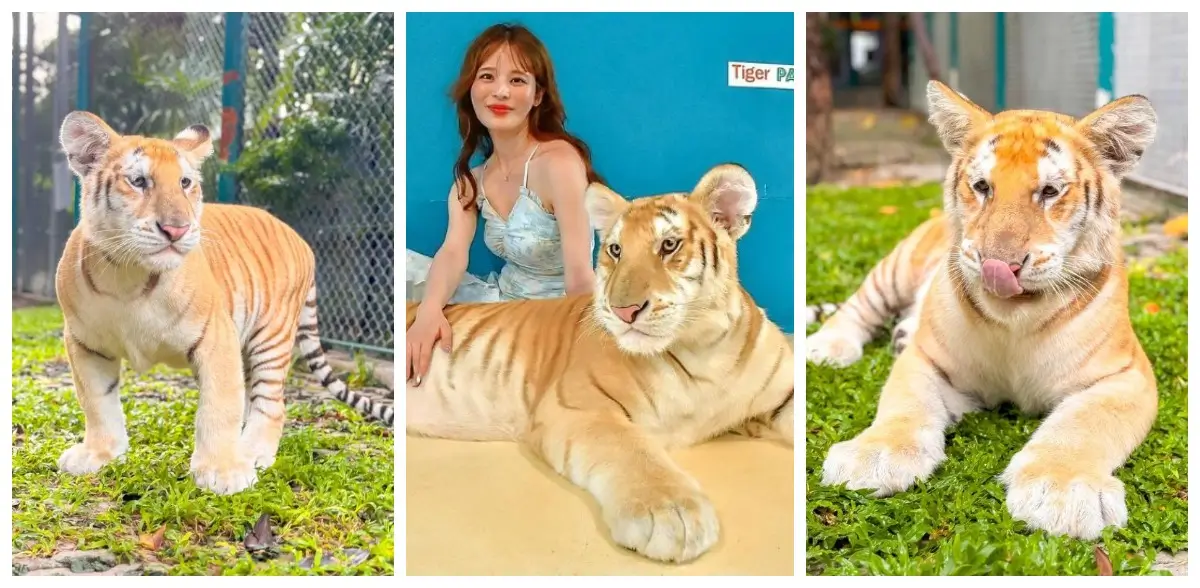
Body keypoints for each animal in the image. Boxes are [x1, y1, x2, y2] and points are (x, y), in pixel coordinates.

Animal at [53, 111, 393, 496]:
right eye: (138, 181)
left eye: (185, 182)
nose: (177, 229)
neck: (131, 277)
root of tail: (301, 238)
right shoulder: (84, 342)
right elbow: (96, 401)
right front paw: (99, 454)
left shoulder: (215, 337)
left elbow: (219, 405)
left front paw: (223, 471)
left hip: (271, 337)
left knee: (272, 404)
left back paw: (252, 453)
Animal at [405, 163, 794, 564]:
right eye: (616, 250)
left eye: (669, 245)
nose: (624, 311)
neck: (702, 348)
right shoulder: (580, 406)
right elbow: (630, 449)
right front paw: (672, 513)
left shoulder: (786, 390)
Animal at [808, 80, 1159, 541]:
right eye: (981, 186)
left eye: (1050, 191)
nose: (999, 264)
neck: (1016, 320)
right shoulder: (927, 359)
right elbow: (904, 402)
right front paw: (875, 455)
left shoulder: (1126, 376)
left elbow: (1082, 424)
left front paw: (1063, 489)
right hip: (895, 268)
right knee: (857, 307)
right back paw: (827, 347)